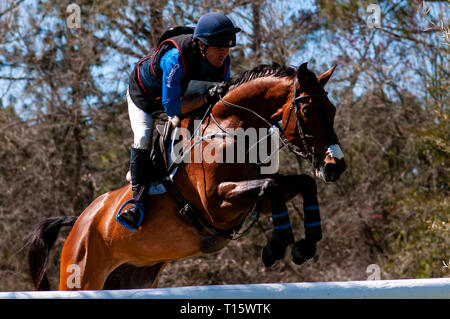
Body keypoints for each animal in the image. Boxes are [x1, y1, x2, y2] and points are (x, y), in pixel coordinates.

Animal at [28, 61, 346, 292]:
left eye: (331, 109)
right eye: (307, 110)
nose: (335, 165)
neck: (231, 129)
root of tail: (80, 222)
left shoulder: (250, 203)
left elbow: (299, 184)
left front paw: (304, 246)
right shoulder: (216, 205)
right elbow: (270, 184)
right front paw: (276, 247)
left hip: (131, 277)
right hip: (79, 277)